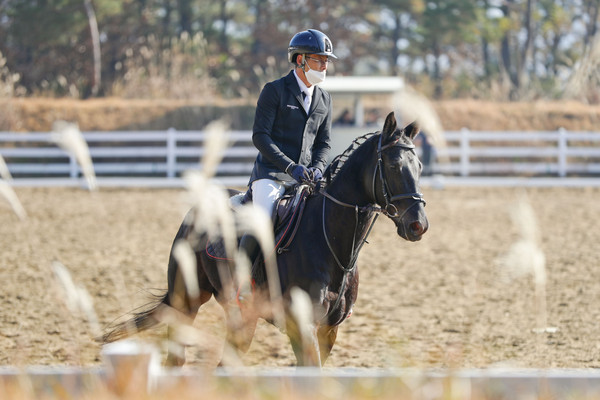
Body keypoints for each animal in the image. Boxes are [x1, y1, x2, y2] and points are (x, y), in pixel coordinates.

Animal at [101, 111, 426, 368]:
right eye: (393, 166)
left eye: (420, 167)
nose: (418, 225)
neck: (331, 243)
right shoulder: (302, 325)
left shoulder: (328, 330)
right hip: (187, 301)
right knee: (177, 360)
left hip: (241, 316)